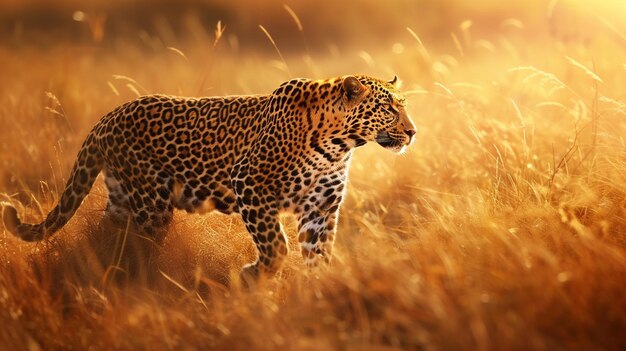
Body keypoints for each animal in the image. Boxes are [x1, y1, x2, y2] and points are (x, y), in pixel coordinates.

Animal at [4, 75, 416, 282]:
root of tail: (107, 118)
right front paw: (253, 276)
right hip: (152, 204)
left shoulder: (321, 208)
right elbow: (276, 247)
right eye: (388, 108)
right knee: (140, 246)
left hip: (122, 199)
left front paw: (317, 295)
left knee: (107, 238)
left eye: (403, 106)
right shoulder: (250, 185)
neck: (339, 144)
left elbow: (319, 256)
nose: (413, 132)